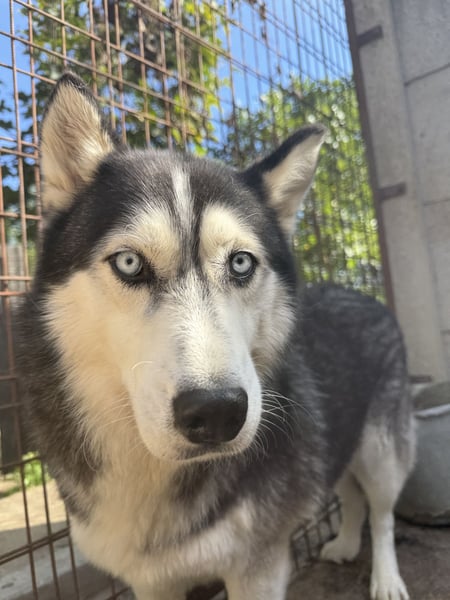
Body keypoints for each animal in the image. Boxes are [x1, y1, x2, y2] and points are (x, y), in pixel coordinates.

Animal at [16, 73, 415, 600]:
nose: (217, 412)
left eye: (241, 262)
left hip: (382, 451)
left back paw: (387, 578)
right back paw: (346, 543)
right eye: (129, 263)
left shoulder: (259, 566)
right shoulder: (152, 582)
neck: (149, 470)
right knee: (350, 494)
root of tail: (365, 294)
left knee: (383, 513)